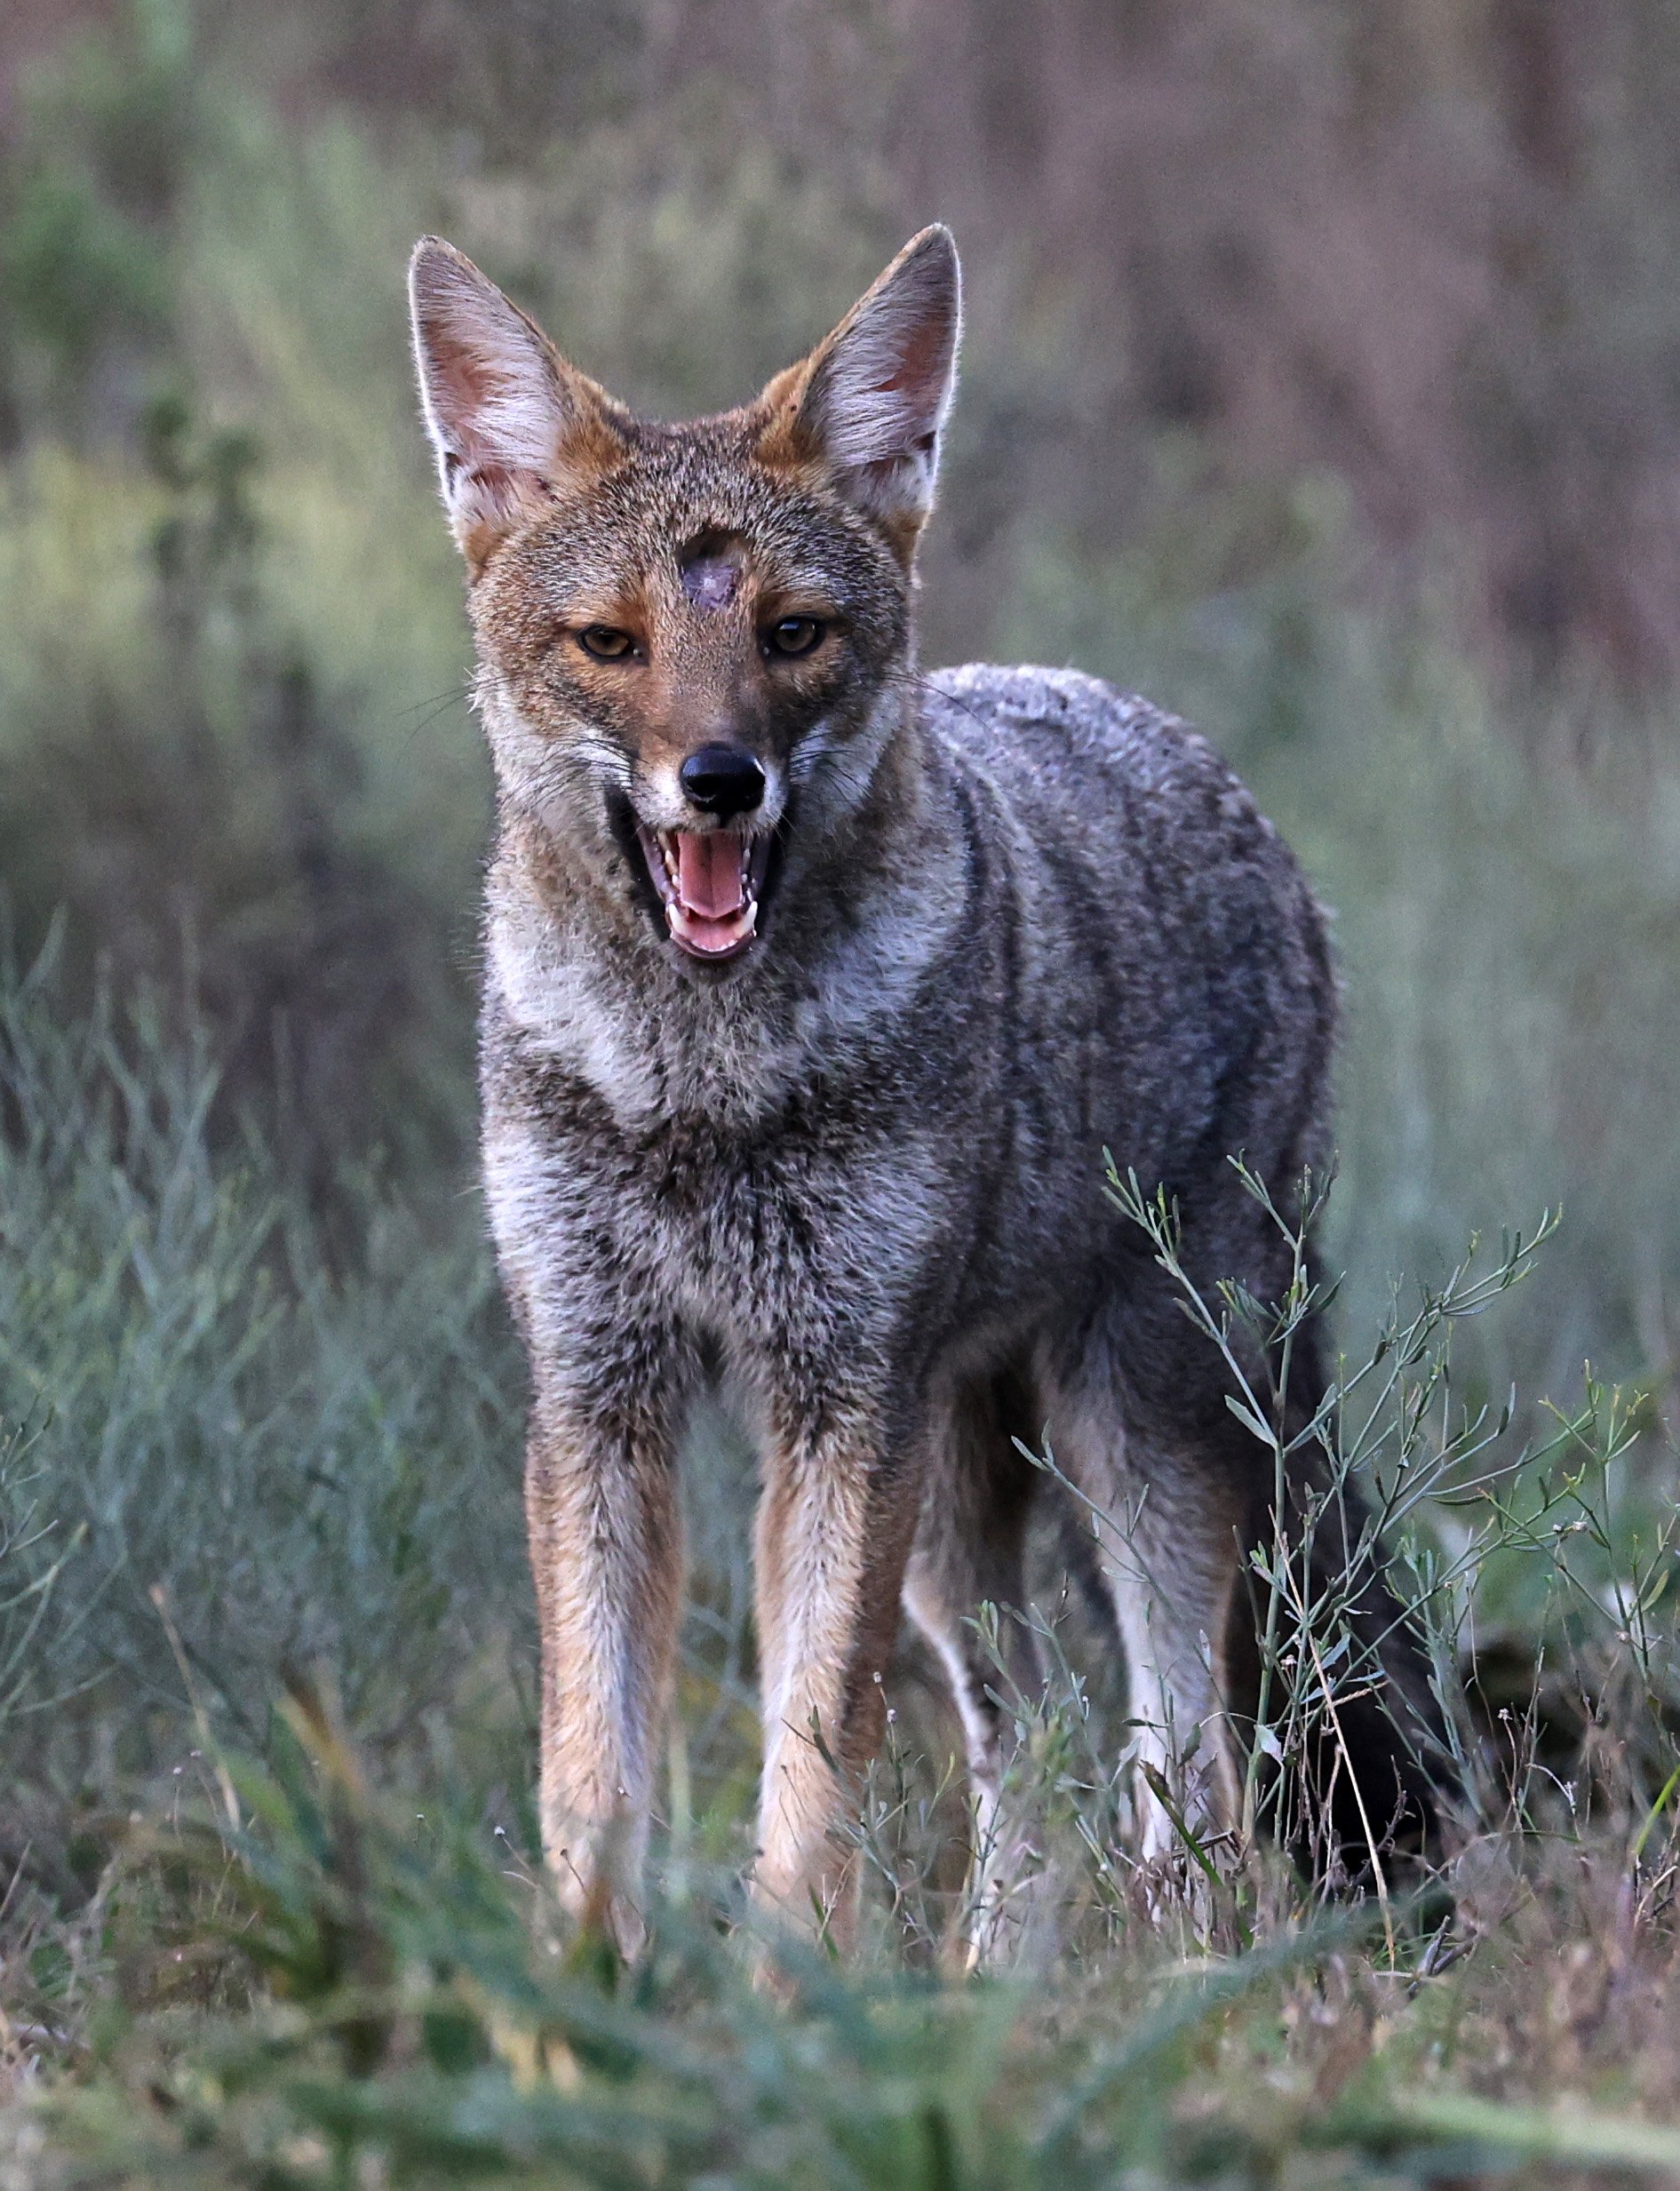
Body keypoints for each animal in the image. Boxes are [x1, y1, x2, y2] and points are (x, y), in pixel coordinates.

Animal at [407, 223, 1443, 1957]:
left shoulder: (838, 1405)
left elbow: (813, 1765)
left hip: (1138, 1431)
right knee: (1020, 1749)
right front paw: (580, 1999)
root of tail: (1173, 740)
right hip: (958, 1517)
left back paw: (1181, 1980)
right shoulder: (600, 1394)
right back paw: (997, 1987)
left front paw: (782, 2000)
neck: (698, 1086)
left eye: (791, 633)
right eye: (612, 645)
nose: (719, 781)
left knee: (1189, 1757)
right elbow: (591, 1770)